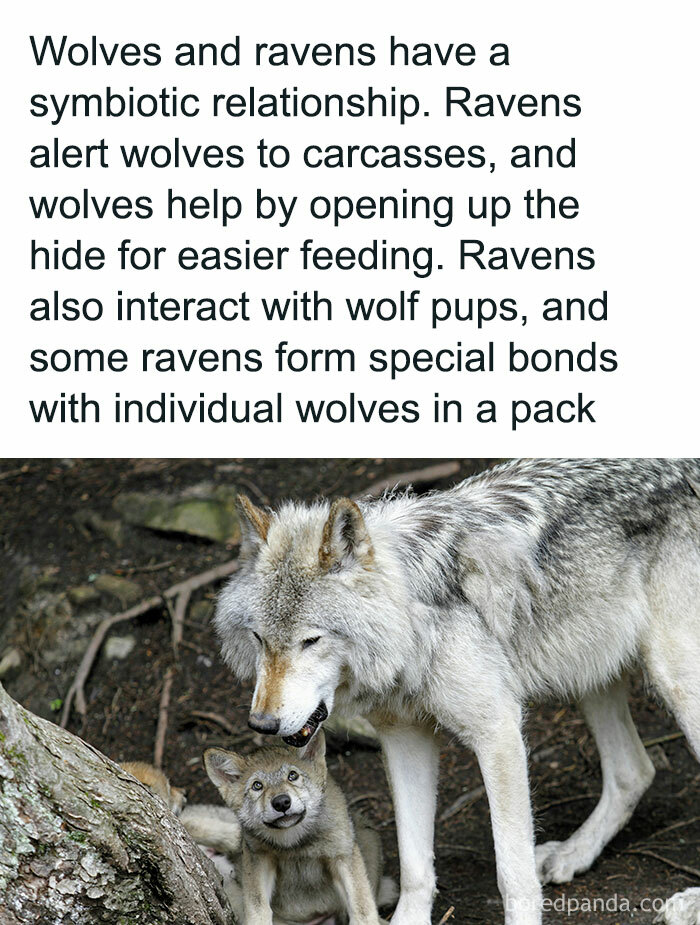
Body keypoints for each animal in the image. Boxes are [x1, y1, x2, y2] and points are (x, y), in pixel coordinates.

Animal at [203, 730, 396, 924]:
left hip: (368, 838)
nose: (281, 802)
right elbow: (257, 908)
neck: (294, 843)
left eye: (292, 776)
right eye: (257, 786)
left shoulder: (342, 855)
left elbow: (362, 907)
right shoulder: (258, 858)